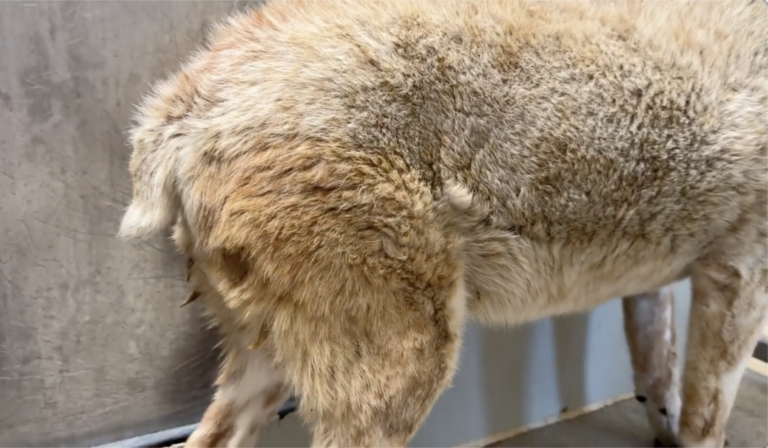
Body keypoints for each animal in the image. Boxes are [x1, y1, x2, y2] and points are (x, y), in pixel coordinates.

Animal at [117, 1, 764, 446]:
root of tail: (187, 104)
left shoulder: (655, 282)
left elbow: (658, 375)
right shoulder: (741, 271)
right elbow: (705, 416)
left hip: (268, 350)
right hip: (400, 361)